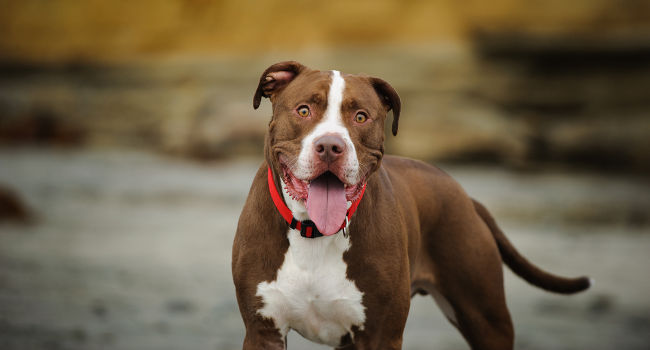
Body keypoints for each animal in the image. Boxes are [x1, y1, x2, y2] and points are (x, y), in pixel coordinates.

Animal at [230, 61, 588, 348]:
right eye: (304, 110)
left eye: (361, 117)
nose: (330, 146)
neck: (312, 231)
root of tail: (464, 195)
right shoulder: (262, 332)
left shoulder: (379, 335)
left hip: (487, 319)